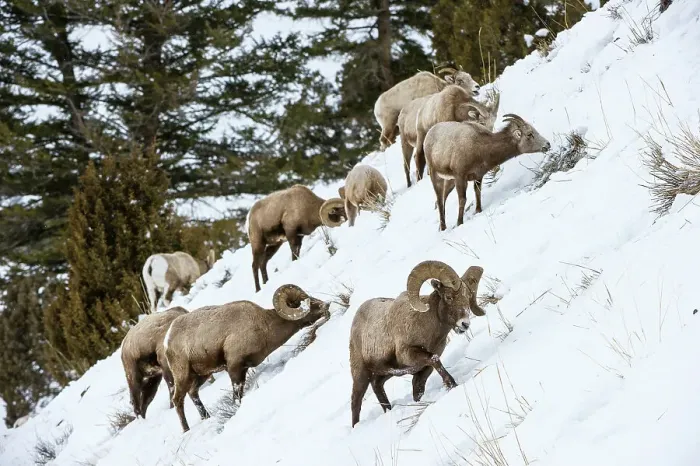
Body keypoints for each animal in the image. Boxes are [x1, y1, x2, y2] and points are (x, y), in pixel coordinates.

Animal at [164, 284, 330, 432]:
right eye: (303, 302)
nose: (326, 306)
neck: (264, 325)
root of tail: (167, 340)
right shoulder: (234, 366)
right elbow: (236, 394)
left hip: (202, 375)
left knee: (193, 393)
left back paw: (206, 417)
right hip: (183, 376)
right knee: (177, 400)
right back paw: (186, 429)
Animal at [349, 260, 484, 427]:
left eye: (467, 297)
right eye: (449, 297)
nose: (464, 324)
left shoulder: (423, 369)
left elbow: (418, 390)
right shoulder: (410, 354)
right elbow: (434, 360)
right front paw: (452, 384)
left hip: (384, 374)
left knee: (377, 385)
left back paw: (389, 410)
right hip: (361, 375)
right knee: (356, 401)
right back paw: (356, 426)